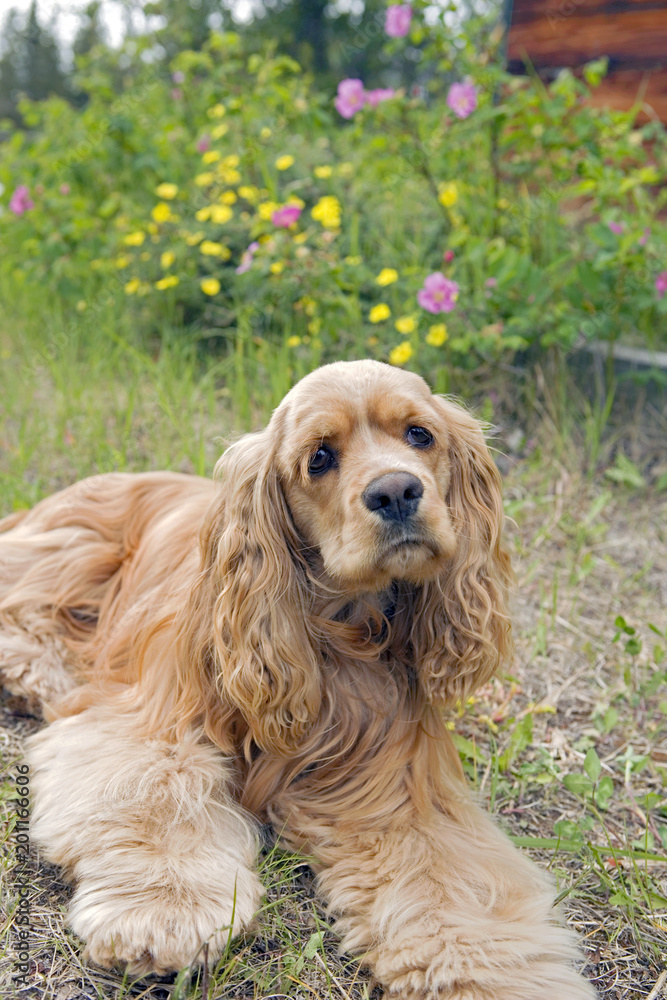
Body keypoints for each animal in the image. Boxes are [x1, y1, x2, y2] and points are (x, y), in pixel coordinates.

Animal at [0, 362, 596, 1000]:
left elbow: (449, 881)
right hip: (69, 555)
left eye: (420, 435)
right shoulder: (149, 726)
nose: (396, 492)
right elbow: (158, 796)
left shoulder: (394, 792)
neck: (338, 627)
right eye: (319, 458)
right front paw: (165, 908)